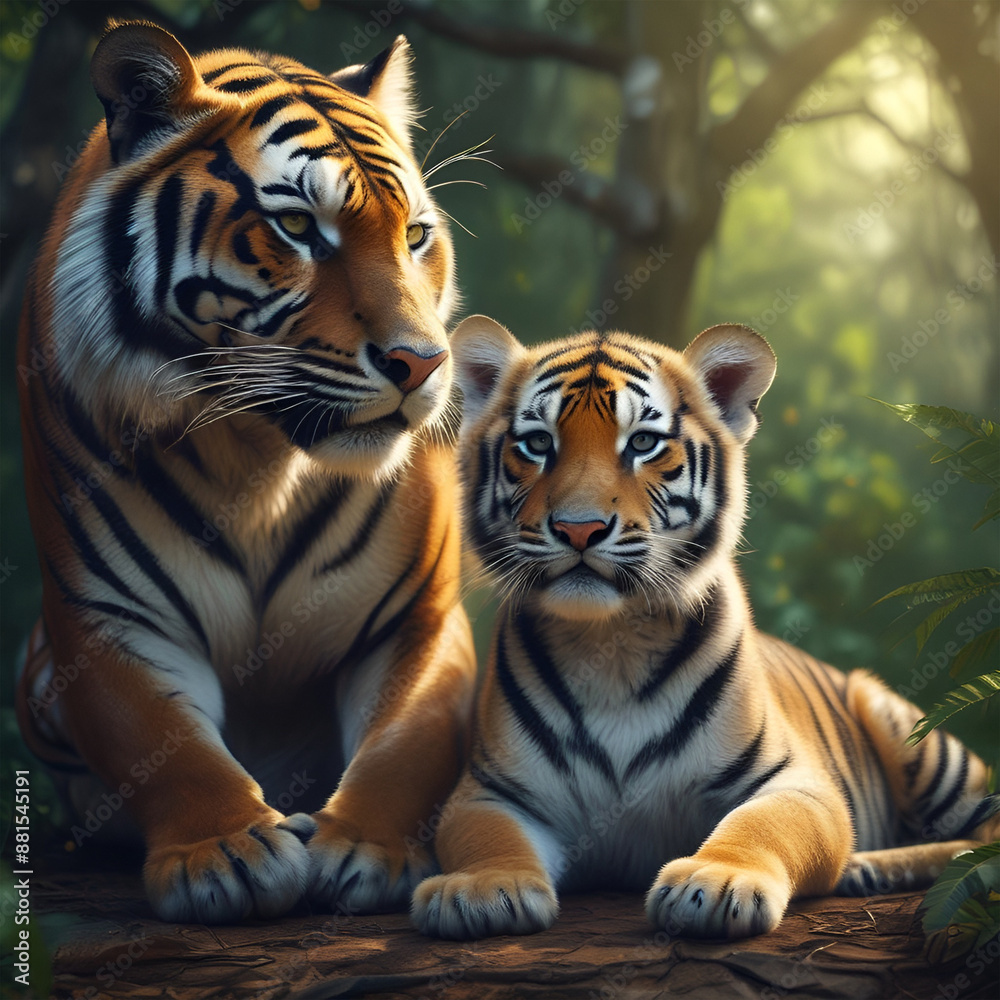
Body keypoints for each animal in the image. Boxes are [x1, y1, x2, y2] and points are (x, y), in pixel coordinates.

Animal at [15, 21, 477, 924]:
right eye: (297, 226)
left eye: (415, 236)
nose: (423, 362)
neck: (259, 459)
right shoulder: (103, 615)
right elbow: (159, 737)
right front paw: (224, 854)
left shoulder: (422, 614)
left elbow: (406, 739)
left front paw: (366, 849)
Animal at [410, 315, 999, 940]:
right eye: (538, 443)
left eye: (642, 443)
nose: (578, 529)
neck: (610, 641)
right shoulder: (491, 791)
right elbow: (484, 837)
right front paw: (480, 890)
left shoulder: (793, 781)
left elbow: (761, 826)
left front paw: (716, 882)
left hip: (913, 738)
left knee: (982, 835)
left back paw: (873, 867)